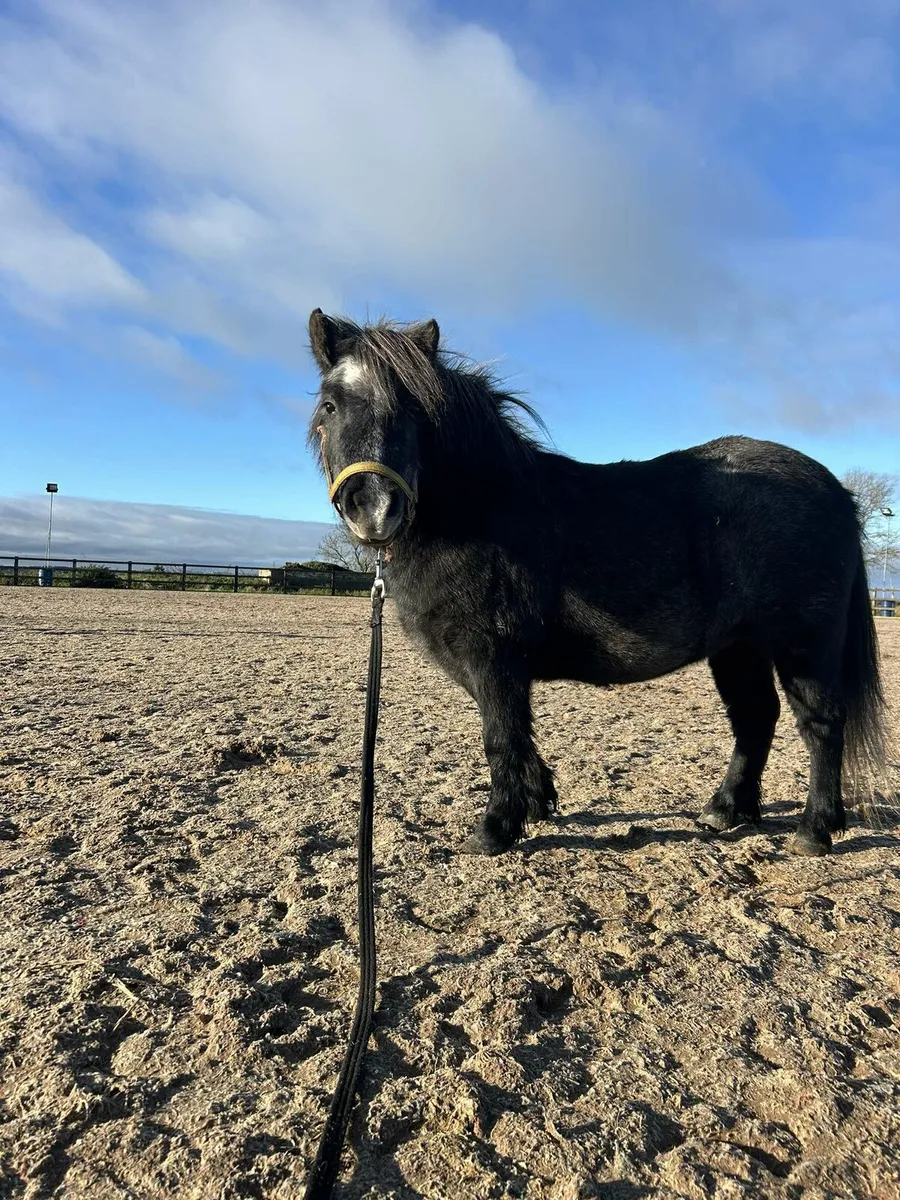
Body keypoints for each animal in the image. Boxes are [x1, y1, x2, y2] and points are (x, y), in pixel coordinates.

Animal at [307, 309, 888, 858]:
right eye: (331, 405)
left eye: (411, 410)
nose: (375, 508)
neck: (483, 510)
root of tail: (836, 491)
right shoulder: (483, 665)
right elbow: (518, 735)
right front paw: (536, 802)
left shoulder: (493, 656)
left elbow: (500, 737)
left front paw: (495, 829)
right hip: (738, 646)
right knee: (755, 717)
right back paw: (725, 810)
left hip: (803, 645)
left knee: (820, 724)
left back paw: (815, 829)